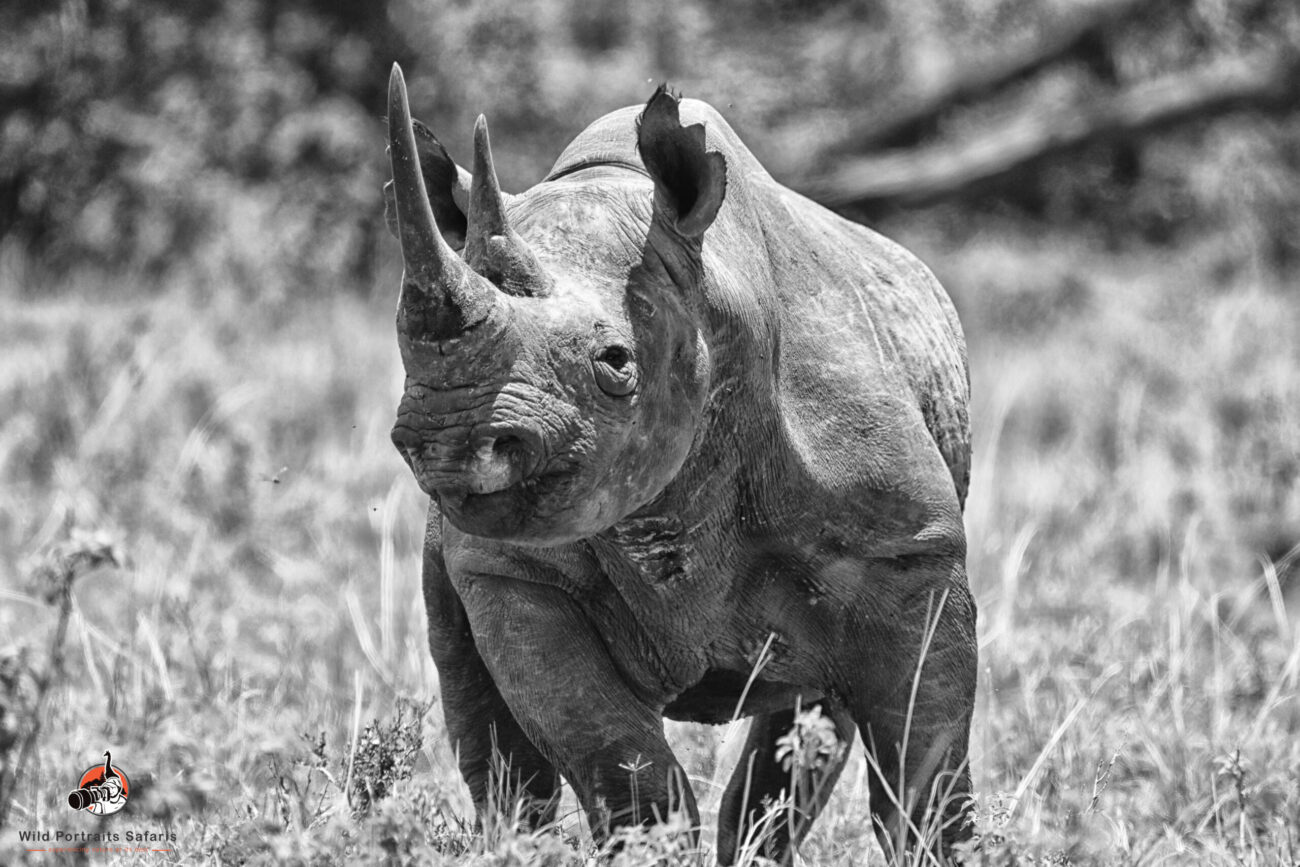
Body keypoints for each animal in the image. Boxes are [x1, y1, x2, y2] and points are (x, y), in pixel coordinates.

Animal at [382, 64, 977, 863]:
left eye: (615, 361)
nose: (448, 436)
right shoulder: (511, 568)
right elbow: (613, 753)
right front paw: (652, 845)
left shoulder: (910, 553)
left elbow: (924, 762)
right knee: (486, 725)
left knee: (813, 713)